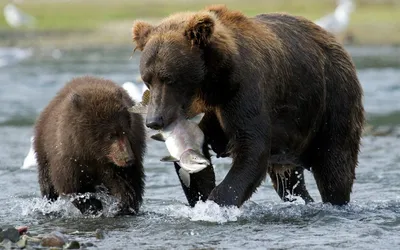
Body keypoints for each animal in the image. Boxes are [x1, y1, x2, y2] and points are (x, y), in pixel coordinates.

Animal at [34, 75, 147, 214]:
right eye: (111, 135)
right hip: (43, 149)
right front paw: (93, 206)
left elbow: (127, 183)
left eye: (125, 131)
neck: (93, 152)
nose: (128, 158)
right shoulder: (69, 155)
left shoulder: (120, 158)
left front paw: (123, 206)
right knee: (46, 181)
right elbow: (73, 186)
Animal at [132, 5, 366, 207]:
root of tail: (334, 41)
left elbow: (251, 148)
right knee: (289, 182)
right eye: (147, 79)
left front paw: (217, 202)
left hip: (332, 99)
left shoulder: (243, 90)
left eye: (169, 78)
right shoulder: (200, 110)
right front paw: (202, 197)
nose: (154, 120)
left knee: (335, 165)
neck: (210, 83)